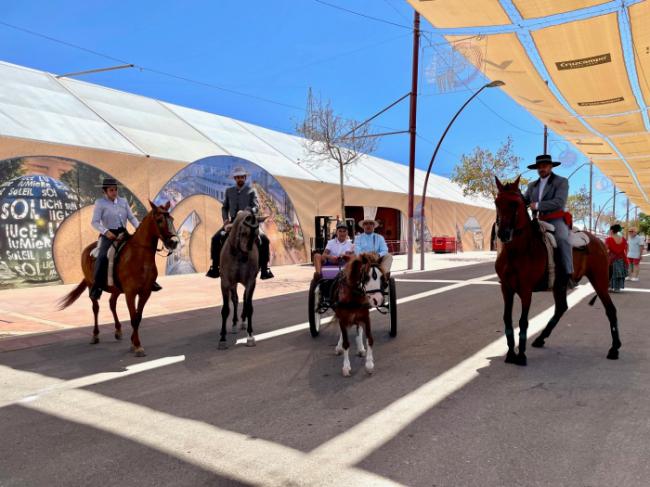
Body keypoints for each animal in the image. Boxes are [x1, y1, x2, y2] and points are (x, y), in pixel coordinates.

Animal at [58, 200, 177, 356]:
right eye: (159, 220)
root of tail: (87, 250)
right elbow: (133, 318)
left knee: (112, 303)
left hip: (115, 289)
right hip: (91, 285)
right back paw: (95, 335)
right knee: (95, 308)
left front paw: (133, 342)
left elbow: (138, 317)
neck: (139, 257)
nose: (174, 242)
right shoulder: (130, 293)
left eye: (172, 219)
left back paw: (118, 330)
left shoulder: (145, 292)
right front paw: (137, 346)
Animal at [494, 176, 620, 366]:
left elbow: (523, 321)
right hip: (559, 285)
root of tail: (599, 242)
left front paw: (521, 356)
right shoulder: (506, 288)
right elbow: (507, 319)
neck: (517, 251)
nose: (503, 234)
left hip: (599, 281)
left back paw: (614, 348)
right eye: (497, 202)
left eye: (515, 203)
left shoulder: (525, 290)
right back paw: (540, 339)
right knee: (561, 308)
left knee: (610, 310)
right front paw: (510, 354)